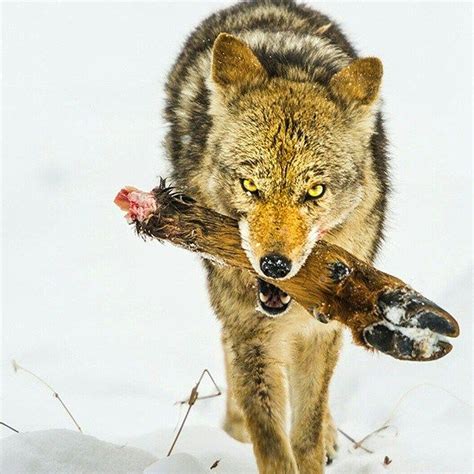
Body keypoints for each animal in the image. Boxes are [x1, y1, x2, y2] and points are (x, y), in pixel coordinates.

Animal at [165, 1, 386, 472]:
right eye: (250, 186)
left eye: (315, 191)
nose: (274, 265)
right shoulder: (252, 335)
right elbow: (270, 440)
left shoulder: (321, 331)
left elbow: (305, 434)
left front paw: (318, 443)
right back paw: (235, 425)